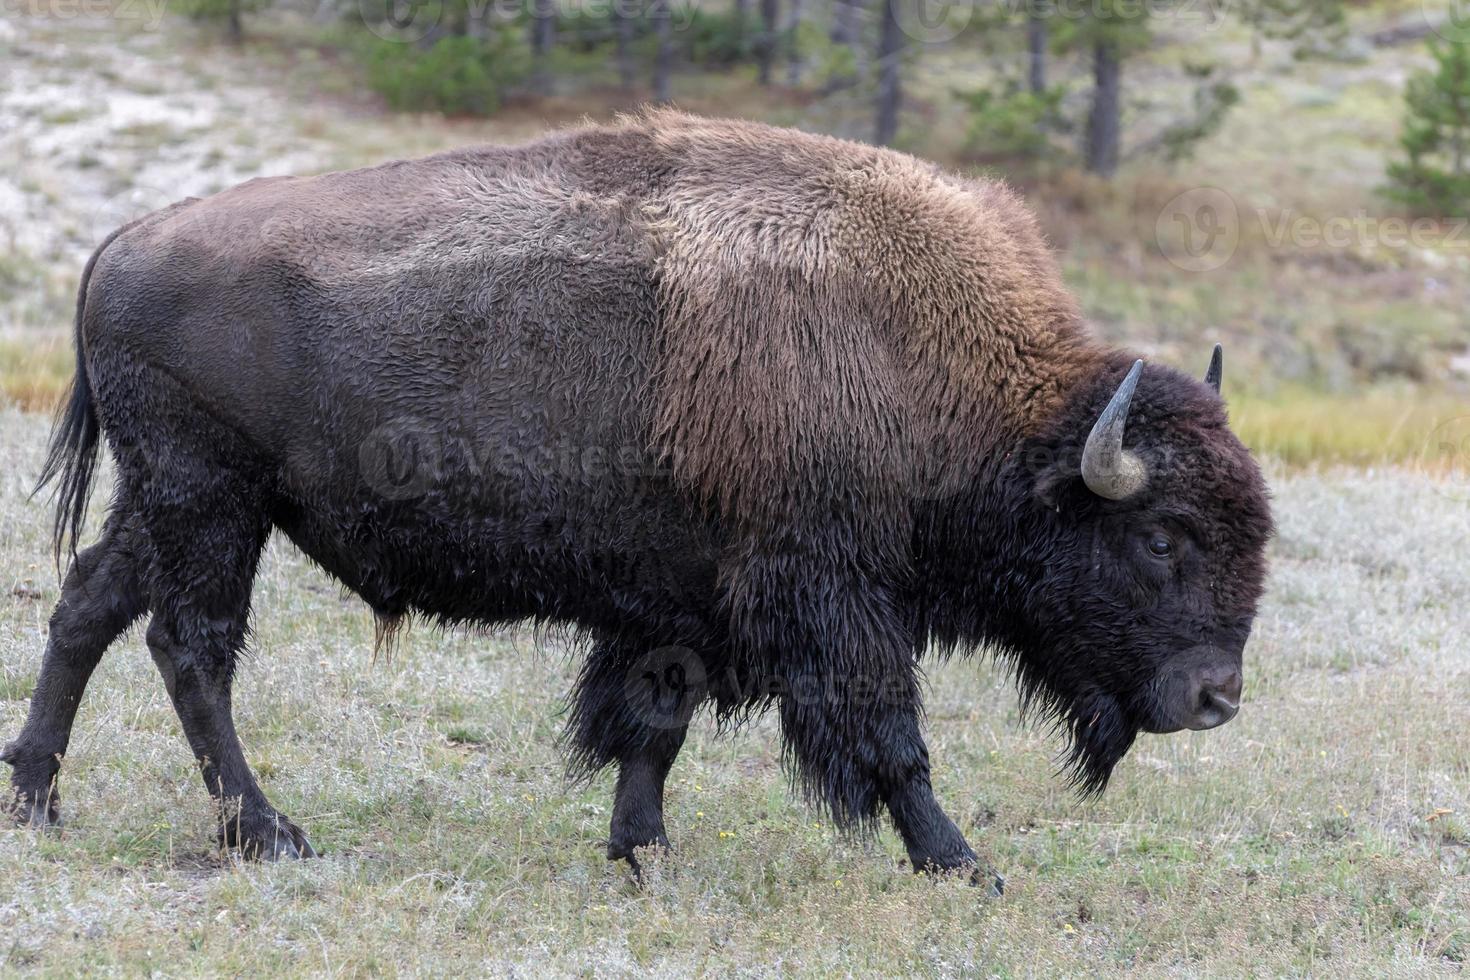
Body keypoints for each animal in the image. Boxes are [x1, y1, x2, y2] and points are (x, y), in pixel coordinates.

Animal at [5, 109, 1270, 887]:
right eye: (1164, 535)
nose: (1217, 695)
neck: (922, 359)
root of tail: (121, 243)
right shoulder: (830, 598)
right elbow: (889, 739)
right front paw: (961, 861)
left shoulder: (684, 601)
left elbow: (653, 723)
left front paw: (642, 850)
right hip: (211, 499)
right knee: (191, 646)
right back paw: (271, 833)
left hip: (164, 500)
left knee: (90, 607)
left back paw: (36, 799)